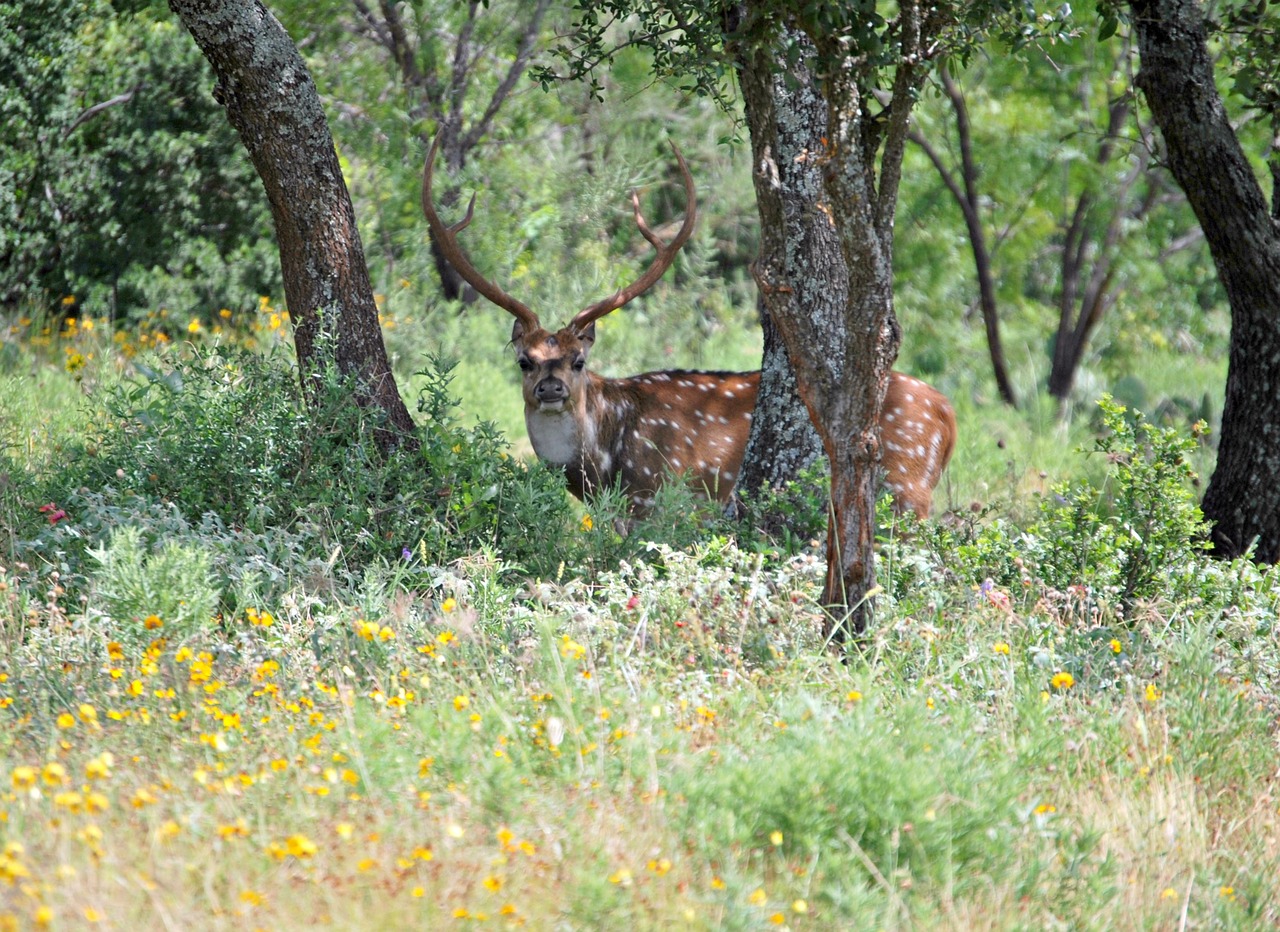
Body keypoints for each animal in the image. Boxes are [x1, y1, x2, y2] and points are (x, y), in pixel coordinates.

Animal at [424, 136, 957, 517]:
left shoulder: (664, 496)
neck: (604, 468)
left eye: (578, 360)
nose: (551, 388)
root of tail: (947, 414)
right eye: (524, 360)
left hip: (907, 485)